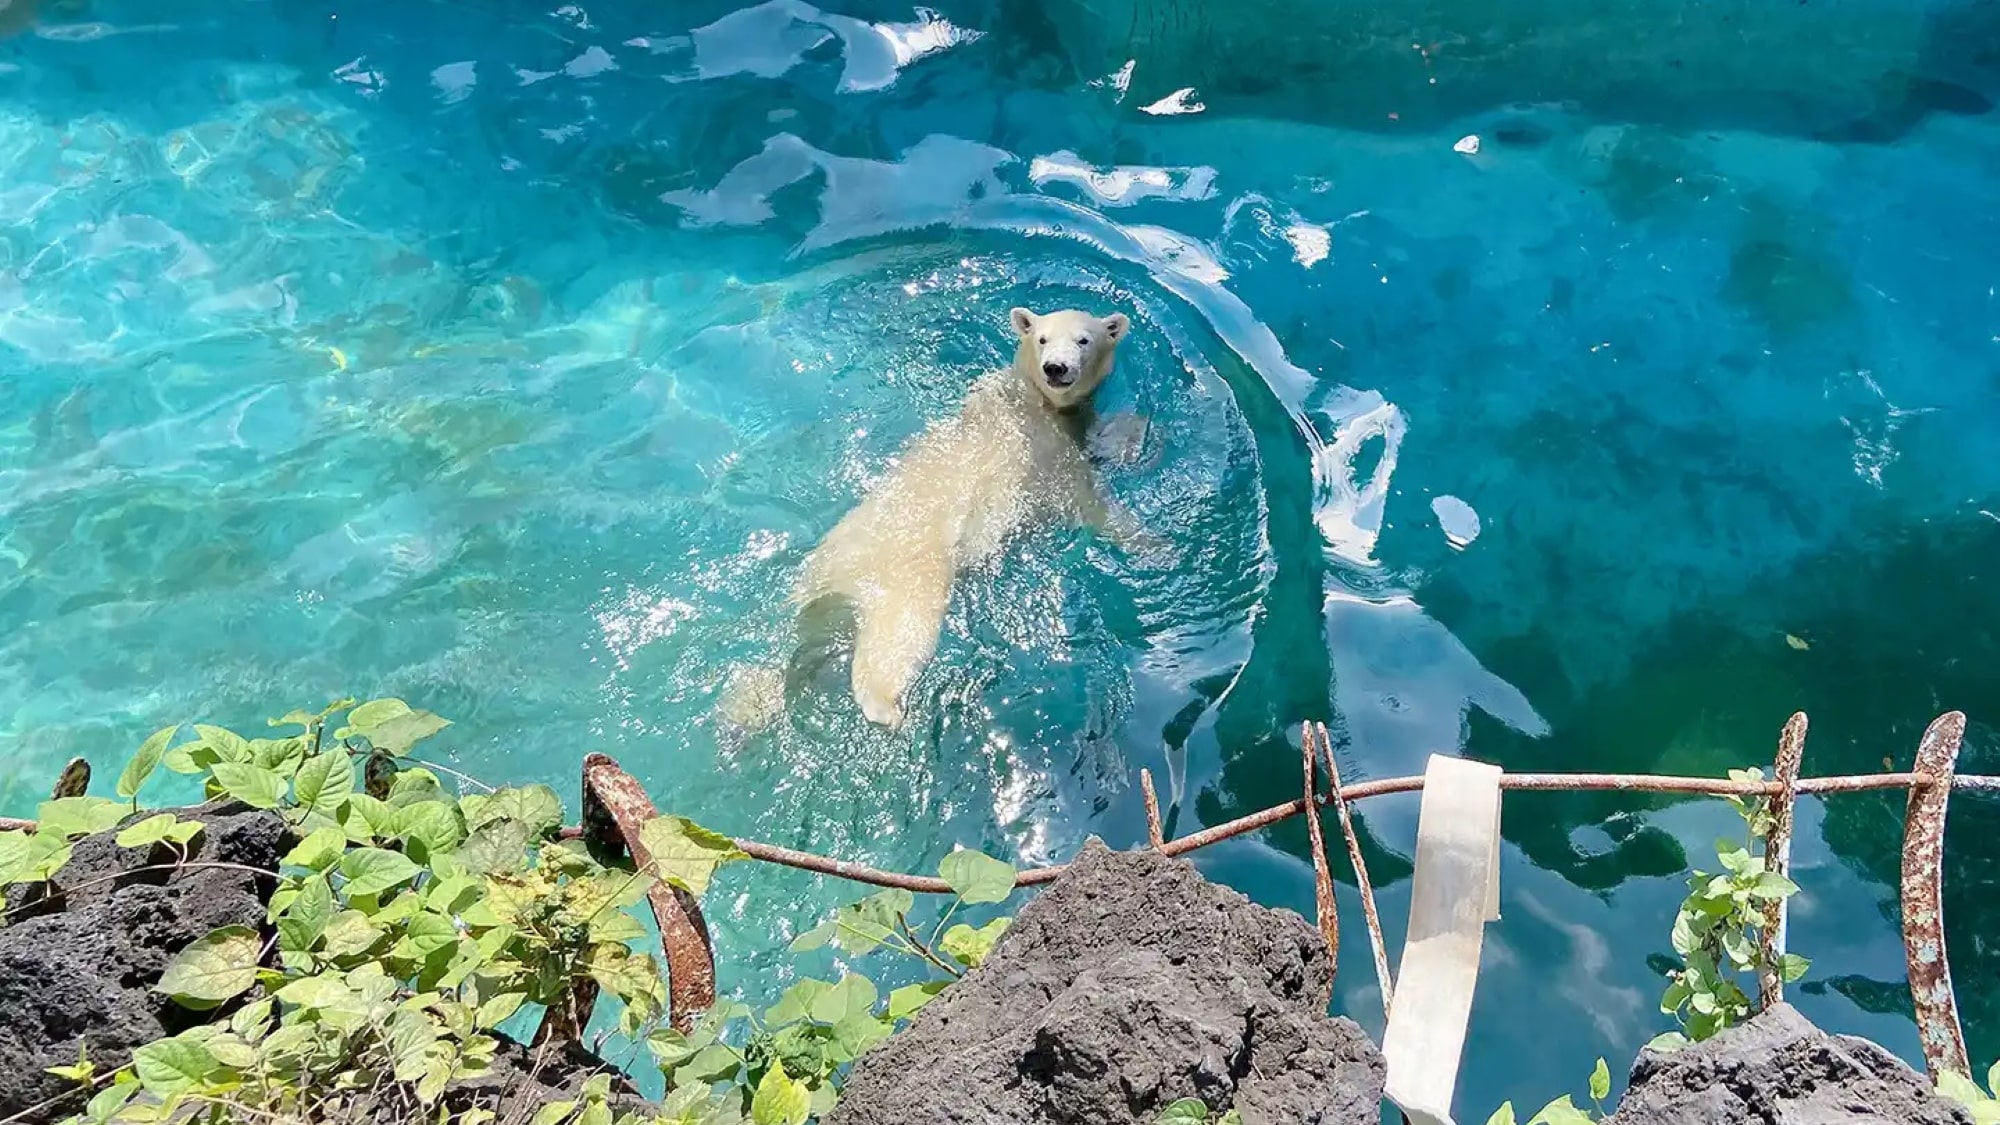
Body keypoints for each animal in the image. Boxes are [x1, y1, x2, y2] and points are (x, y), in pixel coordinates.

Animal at [728, 306, 1152, 732]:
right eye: (1043, 338)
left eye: (1083, 339)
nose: (1056, 368)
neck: (1035, 399)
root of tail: (831, 571)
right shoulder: (1045, 450)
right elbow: (1091, 501)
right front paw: (1154, 547)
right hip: (906, 576)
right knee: (900, 637)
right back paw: (884, 706)